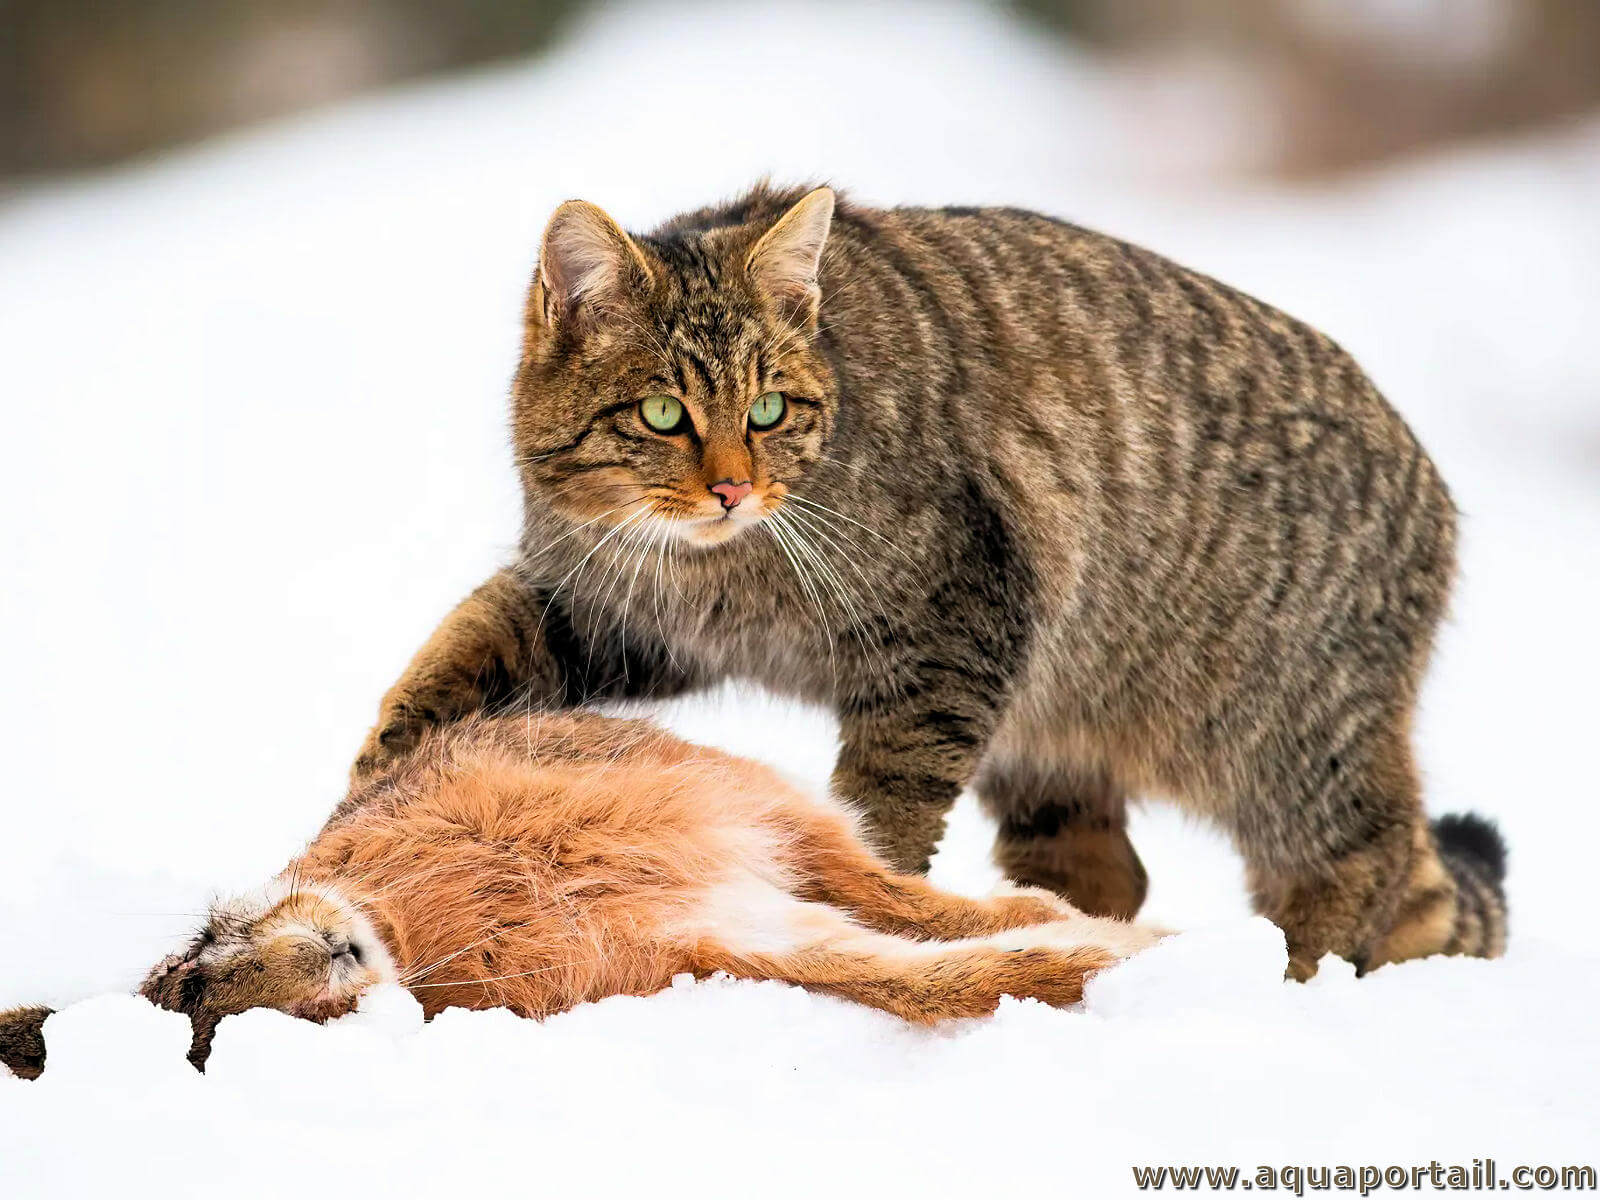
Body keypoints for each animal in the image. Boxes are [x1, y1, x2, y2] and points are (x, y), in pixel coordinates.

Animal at [0, 713, 1158, 1081]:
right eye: (213, 1034)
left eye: (198, 961)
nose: (327, 956)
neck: (402, 923)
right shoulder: (724, 926)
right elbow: (920, 979)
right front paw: (1104, 962)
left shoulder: (747, 834)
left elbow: (928, 930)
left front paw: (1130, 947)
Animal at [353, 183, 1510, 979]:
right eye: (663, 413)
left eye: (767, 409)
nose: (731, 488)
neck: (717, 570)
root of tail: (1438, 497)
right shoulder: (602, 610)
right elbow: (454, 650)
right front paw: (386, 776)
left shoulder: (949, 635)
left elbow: (884, 810)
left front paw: (880, 893)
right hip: (1051, 741)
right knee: (1117, 871)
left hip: (1279, 740)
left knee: (1361, 862)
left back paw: (1293, 977)